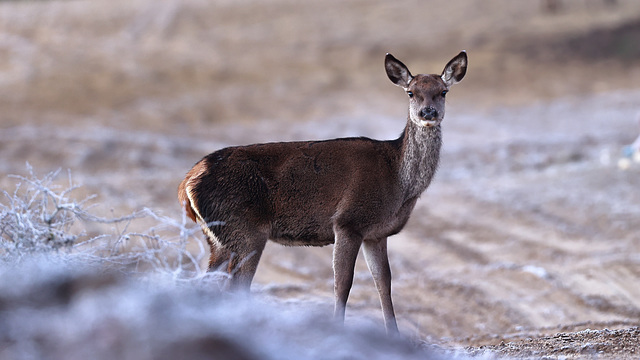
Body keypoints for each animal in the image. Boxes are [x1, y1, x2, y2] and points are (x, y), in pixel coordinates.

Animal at [178, 51, 468, 334]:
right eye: (410, 92)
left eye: (443, 91)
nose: (427, 112)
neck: (398, 181)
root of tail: (186, 184)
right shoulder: (348, 221)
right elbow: (343, 283)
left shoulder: (376, 233)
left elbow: (383, 282)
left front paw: (394, 334)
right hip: (245, 229)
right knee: (234, 287)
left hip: (219, 237)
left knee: (206, 284)